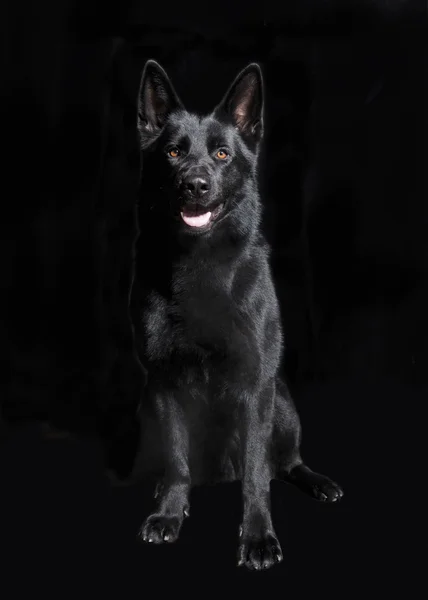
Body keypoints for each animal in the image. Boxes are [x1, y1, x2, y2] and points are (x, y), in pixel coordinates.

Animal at [130, 61, 344, 572]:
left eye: (223, 154)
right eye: (173, 152)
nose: (195, 184)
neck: (200, 266)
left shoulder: (255, 387)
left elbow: (256, 472)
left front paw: (259, 537)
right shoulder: (163, 384)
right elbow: (176, 459)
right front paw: (169, 513)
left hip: (281, 402)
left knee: (284, 463)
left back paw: (317, 481)